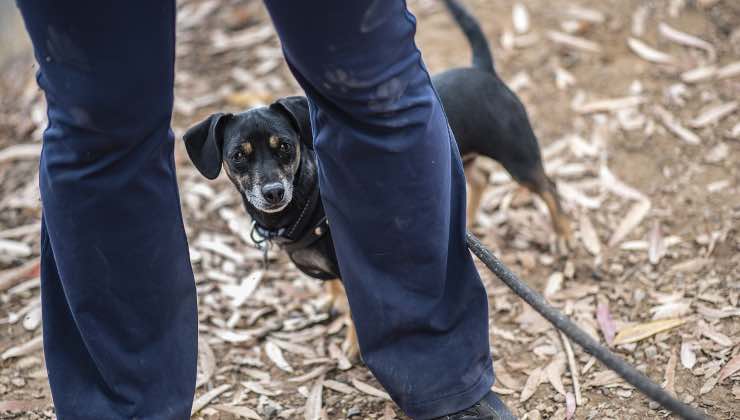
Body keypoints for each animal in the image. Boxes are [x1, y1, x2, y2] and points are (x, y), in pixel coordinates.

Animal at [182, 0, 568, 360]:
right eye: (238, 155)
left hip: (518, 157)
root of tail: (481, 68)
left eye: (286, 147)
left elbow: (359, 313)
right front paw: (331, 301)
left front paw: (353, 347)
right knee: (479, 178)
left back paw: (563, 236)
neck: (307, 201)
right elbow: (335, 290)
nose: (273, 192)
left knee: (548, 187)